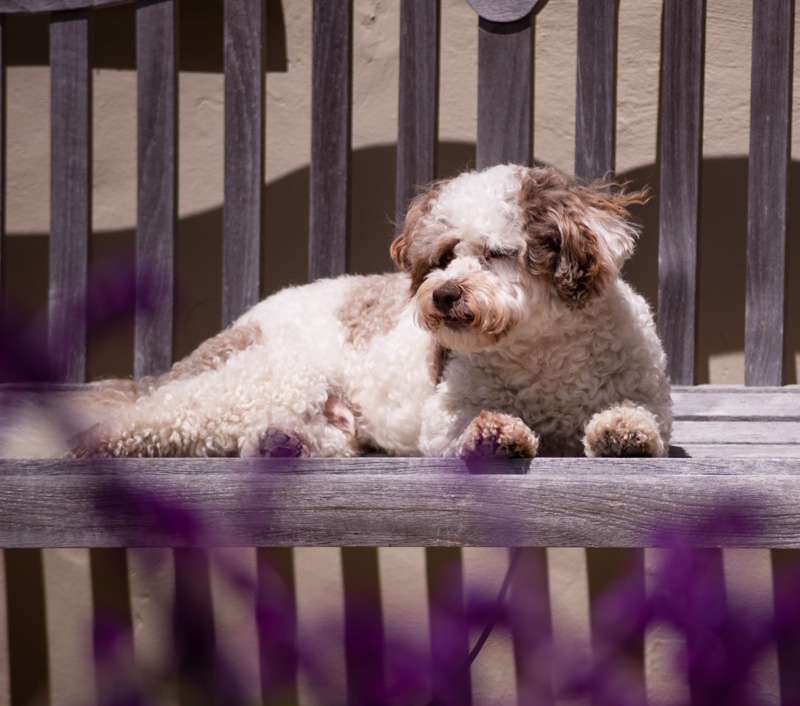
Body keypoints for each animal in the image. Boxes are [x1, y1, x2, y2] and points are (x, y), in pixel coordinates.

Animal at [3, 166, 672, 462]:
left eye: (497, 253)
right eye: (443, 256)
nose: (443, 294)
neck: (543, 351)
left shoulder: (645, 391)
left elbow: (639, 418)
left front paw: (622, 431)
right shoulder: (443, 415)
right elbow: (470, 425)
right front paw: (494, 433)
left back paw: (283, 442)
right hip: (268, 374)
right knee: (150, 423)